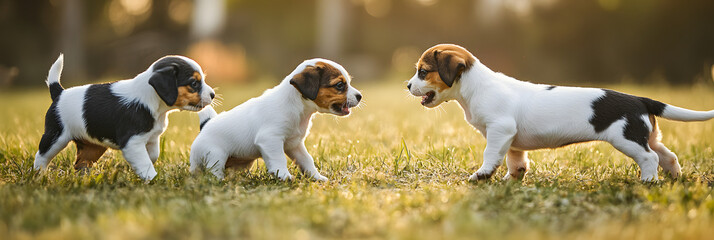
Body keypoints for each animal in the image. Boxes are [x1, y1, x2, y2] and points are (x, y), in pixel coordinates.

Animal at [35, 53, 214, 180]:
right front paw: (152, 179)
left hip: (93, 147)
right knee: (41, 156)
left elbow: (152, 156)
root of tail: (59, 92)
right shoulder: (132, 142)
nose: (212, 95)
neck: (151, 101)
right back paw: (39, 176)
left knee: (80, 164)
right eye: (194, 83)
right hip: (56, 137)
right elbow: (145, 163)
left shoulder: (152, 139)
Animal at [188, 59, 358, 181]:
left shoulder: (295, 145)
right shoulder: (270, 139)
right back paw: (219, 181)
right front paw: (283, 175)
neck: (296, 107)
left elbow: (307, 160)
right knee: (213, 171)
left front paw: (317, 177)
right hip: (215, 155)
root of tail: (206, 125)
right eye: (340, 85)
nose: (360, 96)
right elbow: (279, 158)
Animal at [406, 43, 712, 182]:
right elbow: (516, 161)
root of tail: (639, 99)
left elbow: (491, 156)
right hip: (647, 137)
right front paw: (511, 180)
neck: (475, 87)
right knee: (668, 156)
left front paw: (482, 175)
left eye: (423, 72)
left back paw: (648, 181)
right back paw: (673, 178)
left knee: (650, 159)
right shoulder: (511, 139)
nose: (407, 85)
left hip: (627, 140)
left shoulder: (499, 131)